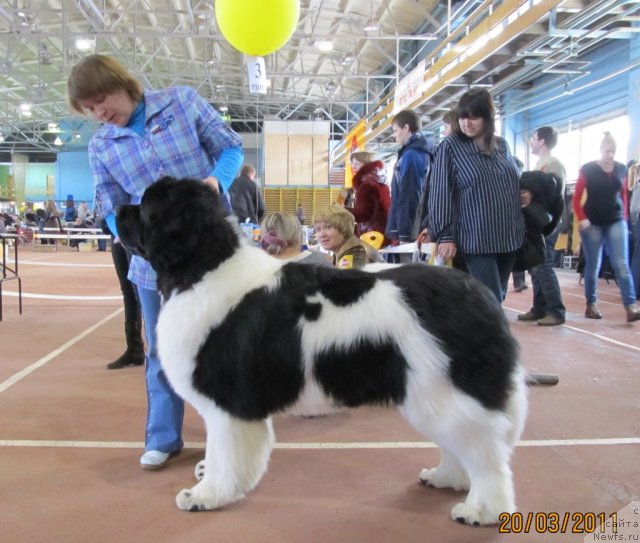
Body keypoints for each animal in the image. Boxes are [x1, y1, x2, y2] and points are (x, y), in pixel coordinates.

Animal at [117, 178, 528, 528]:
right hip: (434, 395)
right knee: (464, 446)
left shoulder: (227, 405)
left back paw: (481, 510)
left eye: (146, 206)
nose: (118, 207)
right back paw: (445, 477)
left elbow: (225, 456)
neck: (203, 268)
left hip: (444, 394)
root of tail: (479, 295)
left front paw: (205, 496)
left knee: (486, 455)